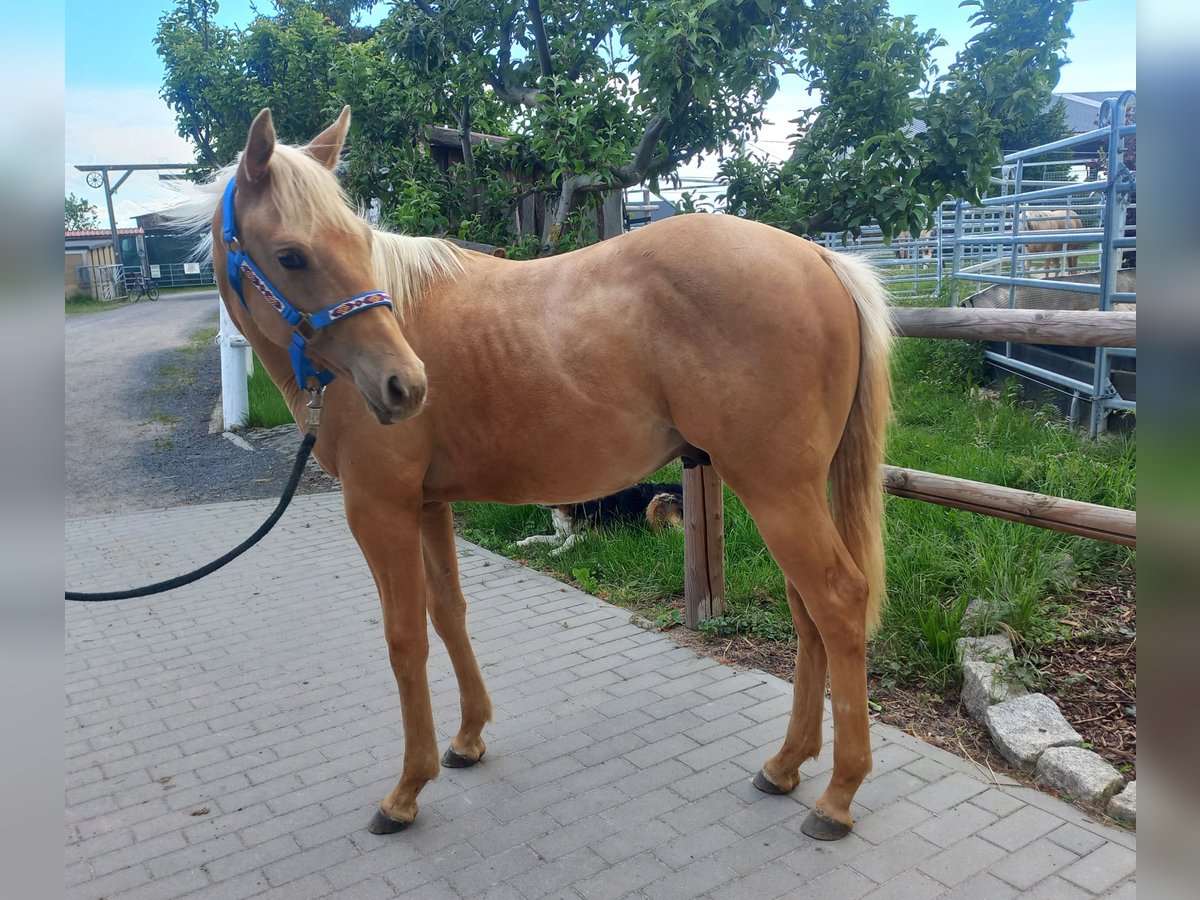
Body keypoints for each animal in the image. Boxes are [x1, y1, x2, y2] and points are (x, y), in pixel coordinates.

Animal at [516, 487, 686, 556]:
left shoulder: (600, 535)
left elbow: (572, 538)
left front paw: (556, 551)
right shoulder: (560, 535)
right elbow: (535, 537)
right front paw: (519, 543)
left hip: (657, 499)